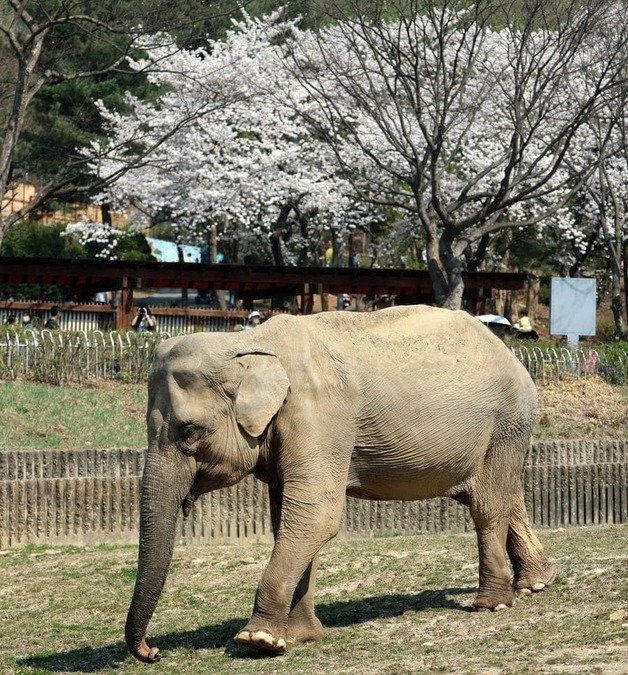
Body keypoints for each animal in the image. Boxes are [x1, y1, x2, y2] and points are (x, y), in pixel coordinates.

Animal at [126, 304, 556, 664]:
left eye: (190, 431)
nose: (154, 652)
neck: (249, 343)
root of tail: (509, 352)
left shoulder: (319, 415)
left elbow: (316, 516)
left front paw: (258, 640)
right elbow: (290, 519)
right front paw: (299, 637)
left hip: (507, 419)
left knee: (487, 504)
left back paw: (493, 604)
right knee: (502, 494)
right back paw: (535, 584)